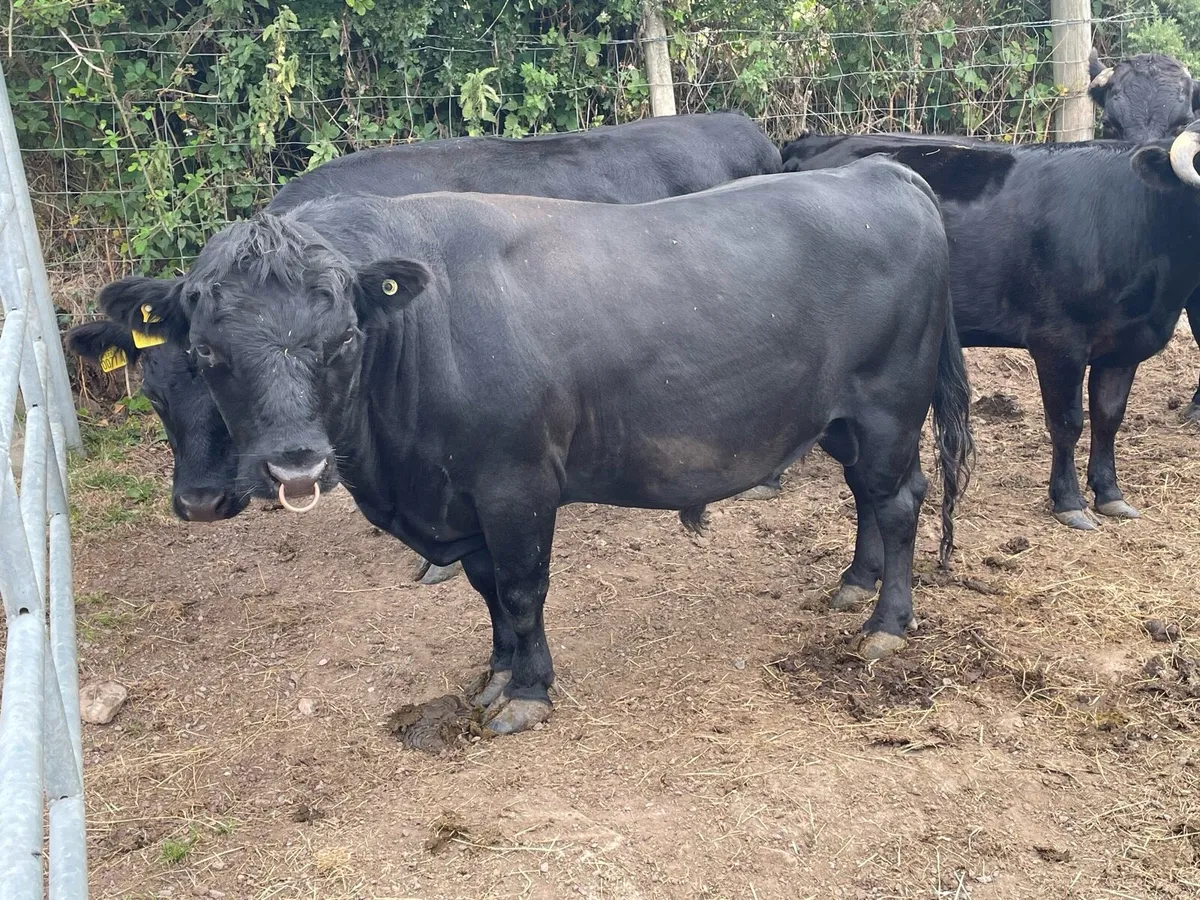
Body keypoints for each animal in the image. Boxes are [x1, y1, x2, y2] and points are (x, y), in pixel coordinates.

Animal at [95, 158, 973, 735]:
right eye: (209, 353)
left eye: (342, 340)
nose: (295, 461)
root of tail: (878, 168)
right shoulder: (461, 501)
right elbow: (486, 591)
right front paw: (494, 674)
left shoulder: (513, 485)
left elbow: (521, 588)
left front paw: (528, 692)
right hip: (845, 419)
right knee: (866, 495)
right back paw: (853, 585)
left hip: (890, 405)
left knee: (898, 500)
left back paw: (887, 622)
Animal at [780, 122, 1200, 530]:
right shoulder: (1058, 342)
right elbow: (1067, 423)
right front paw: (1068, 502)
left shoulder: (1123, 346)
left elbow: (1108, 419)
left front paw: (1110, 493)